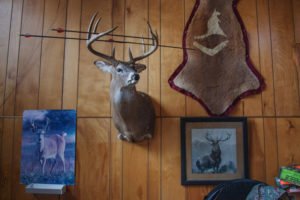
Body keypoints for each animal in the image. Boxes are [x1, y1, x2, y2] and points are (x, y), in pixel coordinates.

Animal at [86, 12, 158, 142]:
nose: (136, 76)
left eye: (134, 68)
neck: (129, 126)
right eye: (119, 69)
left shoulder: (148, 131)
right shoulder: (120, 133)